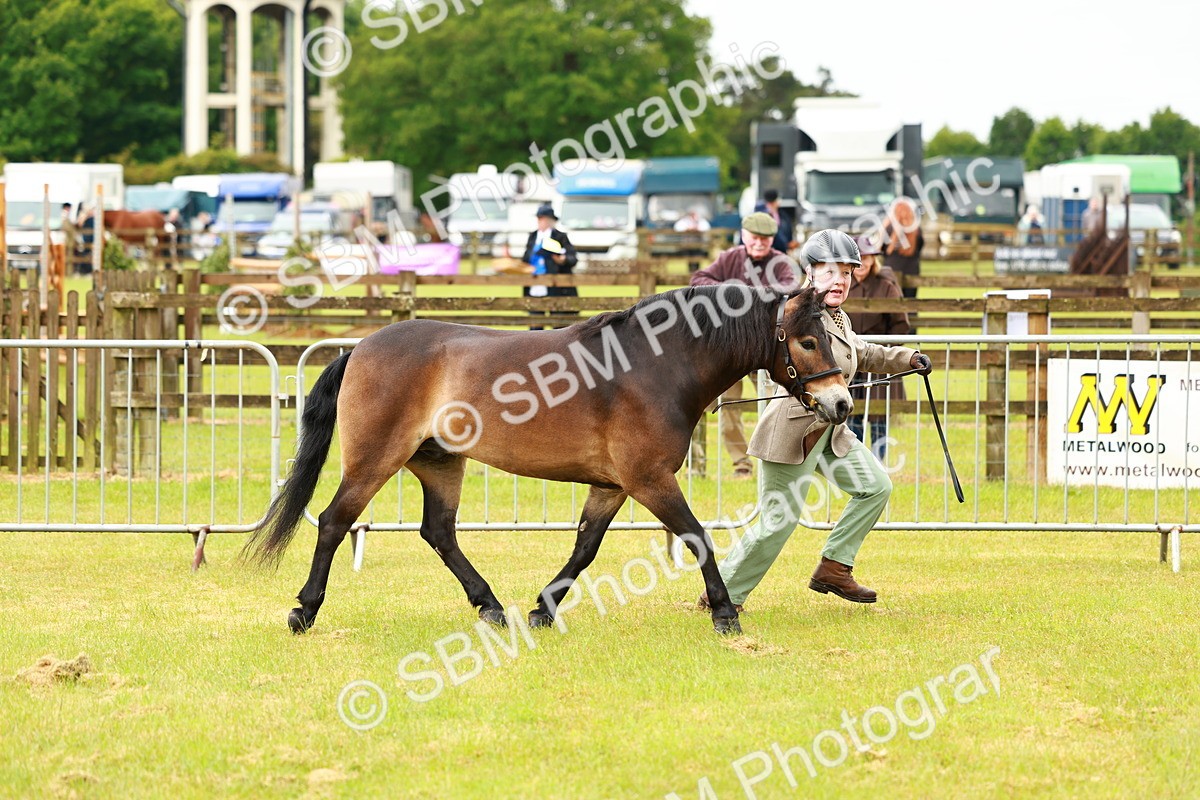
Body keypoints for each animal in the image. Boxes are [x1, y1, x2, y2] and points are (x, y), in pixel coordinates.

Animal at [244, 283, 852, 635]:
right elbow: (697, 536)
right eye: (806, 341)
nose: (842, 404)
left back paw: (490, 606)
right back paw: (305, 610)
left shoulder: (613, 485)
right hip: (375, 461)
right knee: (333, 521)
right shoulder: (649, 480)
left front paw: (542, 608)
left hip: (439, 464)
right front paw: (724, 613)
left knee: (439, 531)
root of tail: (360, 348)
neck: (655, 364)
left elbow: (585, 547)